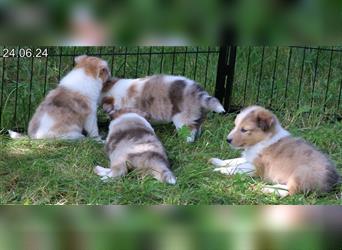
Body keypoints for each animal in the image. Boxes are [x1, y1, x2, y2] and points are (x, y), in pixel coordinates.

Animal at [208, 105, 340, 197]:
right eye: (235, 125)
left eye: (244, 130)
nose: (228, 140)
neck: (262, 141)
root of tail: (334, 180)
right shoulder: (250, 158)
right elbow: (234, 160)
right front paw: (217, 161)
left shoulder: (256, 167)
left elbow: (237, 167)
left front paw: (220, 170)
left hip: (302, 172)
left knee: (290, 191)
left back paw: (265, 188)